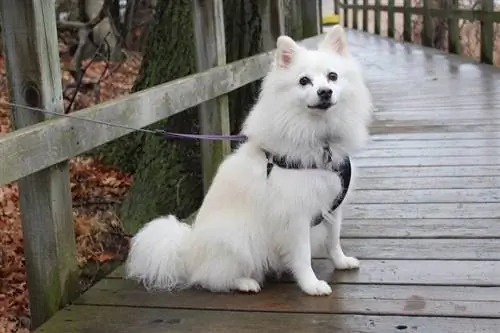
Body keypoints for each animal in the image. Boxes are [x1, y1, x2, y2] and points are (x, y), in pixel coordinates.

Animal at [127, 26, 374, 296]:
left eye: (332, 76)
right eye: (304, 81)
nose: (325, 92)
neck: (320, 139)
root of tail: (187, 252)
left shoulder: (332, 204)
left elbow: (333, 240)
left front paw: (341, 262)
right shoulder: (295, 216)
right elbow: (302, 256)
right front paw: (312, 285)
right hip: (237, 239)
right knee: (211, 278)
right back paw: (245, 283)